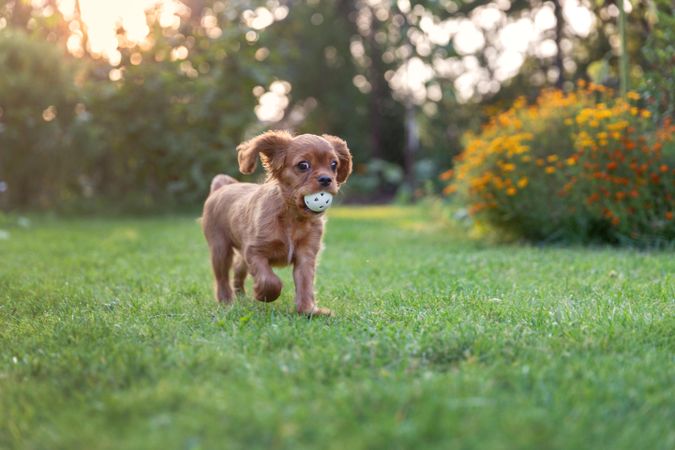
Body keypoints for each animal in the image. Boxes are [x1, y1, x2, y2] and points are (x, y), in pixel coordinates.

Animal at [202, 130, 354, 314]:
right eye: (303, 165)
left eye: (333, 164)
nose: (326, 179)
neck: (293, 217)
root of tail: (222, 187)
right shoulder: (255, 251)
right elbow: (270, 281)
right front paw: (263, 295)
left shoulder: (306, 254)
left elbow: (305, 283)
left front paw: (308, 310)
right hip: (220, 248)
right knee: (222, 276)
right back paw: (226, 301)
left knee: (239, 267)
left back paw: (240, 295)